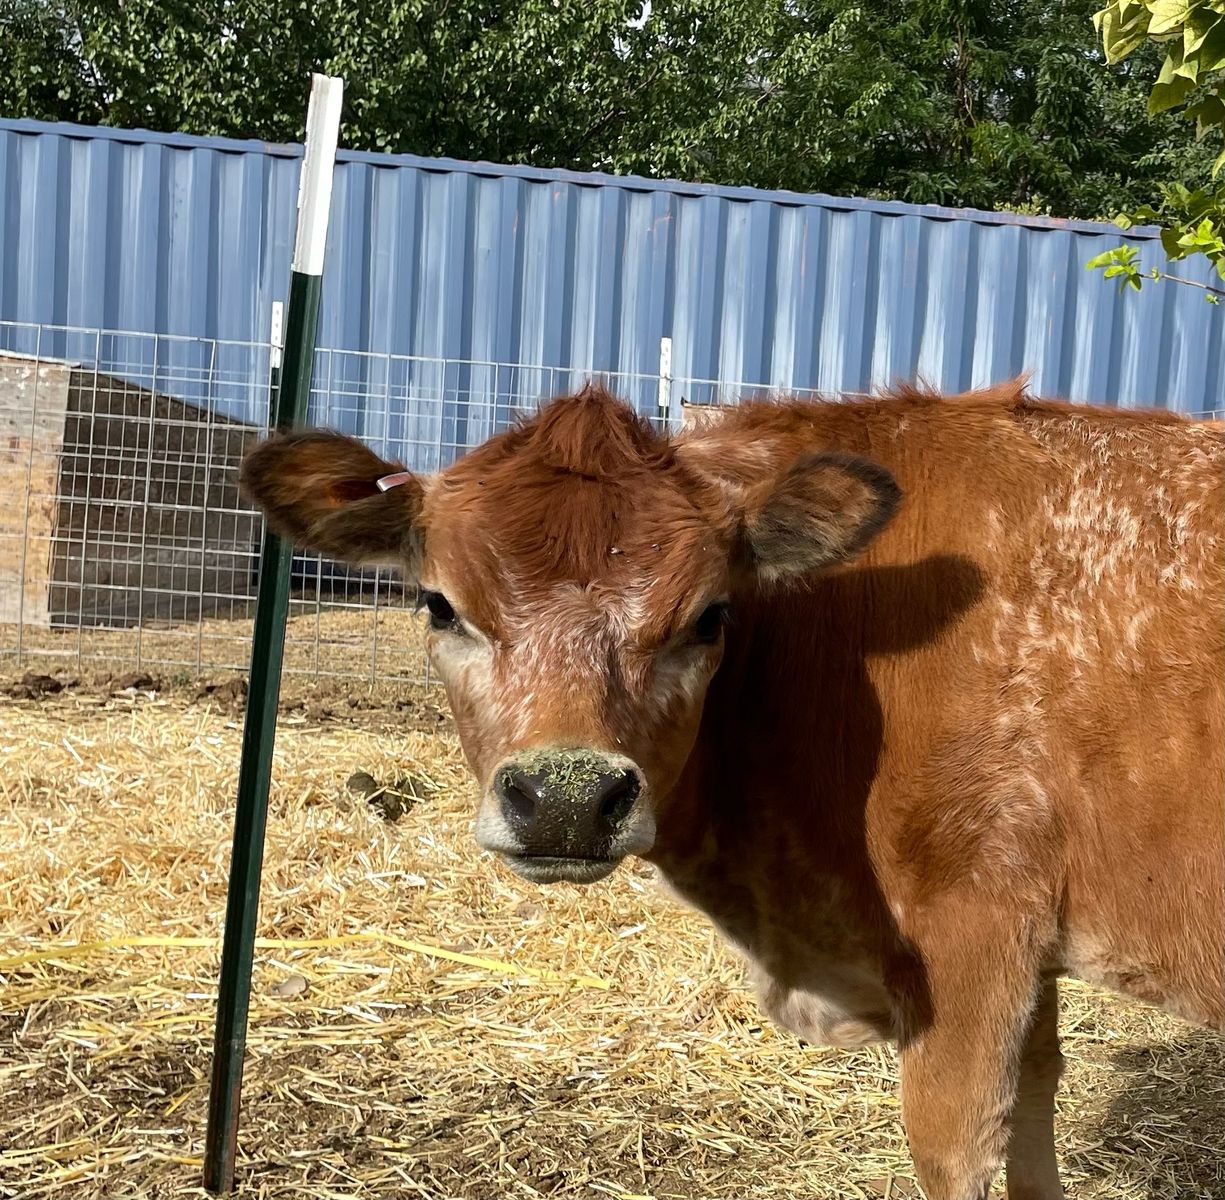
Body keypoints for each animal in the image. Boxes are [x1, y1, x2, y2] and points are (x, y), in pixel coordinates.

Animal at [239, 379, 1225, 1200]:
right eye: (440, 606)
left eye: (710, 617)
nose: (567, 799)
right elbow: (1034, 1110)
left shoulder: (969, 928)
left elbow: (954, 1146)